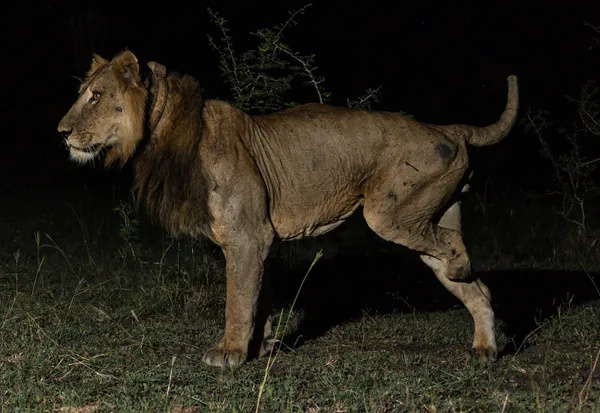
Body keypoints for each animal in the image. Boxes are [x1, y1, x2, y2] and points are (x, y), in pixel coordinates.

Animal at [59, 49, 520, 366]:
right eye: (84, 94)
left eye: (95, 96)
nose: (61, 132)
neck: (163, 133)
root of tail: (445, 128)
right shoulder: (256, 240)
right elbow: (257, 296)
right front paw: (260, 345)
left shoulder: (248, 236)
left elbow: (237, 299)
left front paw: (229, 352)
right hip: (425, 216)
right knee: (477, 288)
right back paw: (485, 348)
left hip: (389, 214)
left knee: (454, 247)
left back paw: (463, 272)